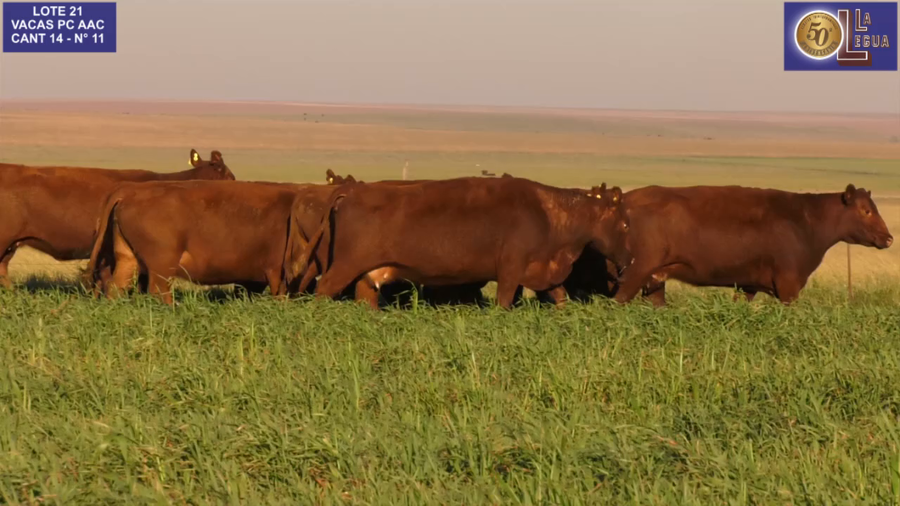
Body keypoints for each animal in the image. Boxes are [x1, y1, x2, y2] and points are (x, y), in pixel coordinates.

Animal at [86, 181, 339, 304]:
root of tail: (129, 191)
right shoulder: (276, 271)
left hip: (128, 258)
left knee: (117, 286)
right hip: (161, 265)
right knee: (158, 290)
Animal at [287, 177, 631, 309]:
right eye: (626, 223)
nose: (630, 260)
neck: (548, 214)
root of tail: (352, 190)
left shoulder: (543, 274)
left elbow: (561, 299)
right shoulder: (509, 272)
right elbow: (504, 302)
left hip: (368, 276)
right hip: (343, 267)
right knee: (322, 290)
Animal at [611, 184, 893, 305]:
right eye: (866, 210)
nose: (889, 238)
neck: (807, 221)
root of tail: (626, 198)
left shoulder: (748, 284)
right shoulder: (789, 285)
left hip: (655, 277)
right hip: (634, 272)